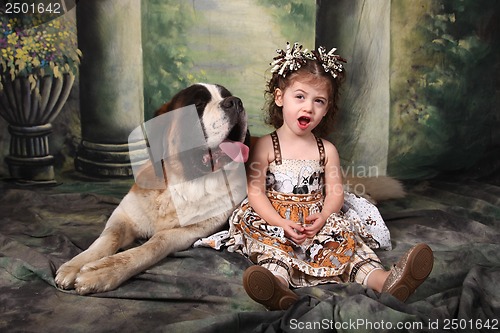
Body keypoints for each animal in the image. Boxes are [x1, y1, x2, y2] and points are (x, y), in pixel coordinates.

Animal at [55, 83, 250, 294]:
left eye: (228, 96)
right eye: (198, 104)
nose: (236, 102)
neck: (183, 181)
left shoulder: (190, 231)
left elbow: (156, 243)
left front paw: (103, 270)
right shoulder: (124, 215)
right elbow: (110, 236)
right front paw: (75, 265)